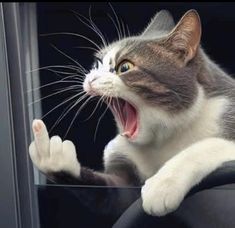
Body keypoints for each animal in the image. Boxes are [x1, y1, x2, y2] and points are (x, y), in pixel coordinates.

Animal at [28, 8, 235, 216]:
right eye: (98, 64)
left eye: (125, 67)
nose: (91, 78)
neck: (163, 137)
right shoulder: (121, 155)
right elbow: (117, 196)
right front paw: (55, 158)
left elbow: (207, 146)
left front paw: (162, 185)